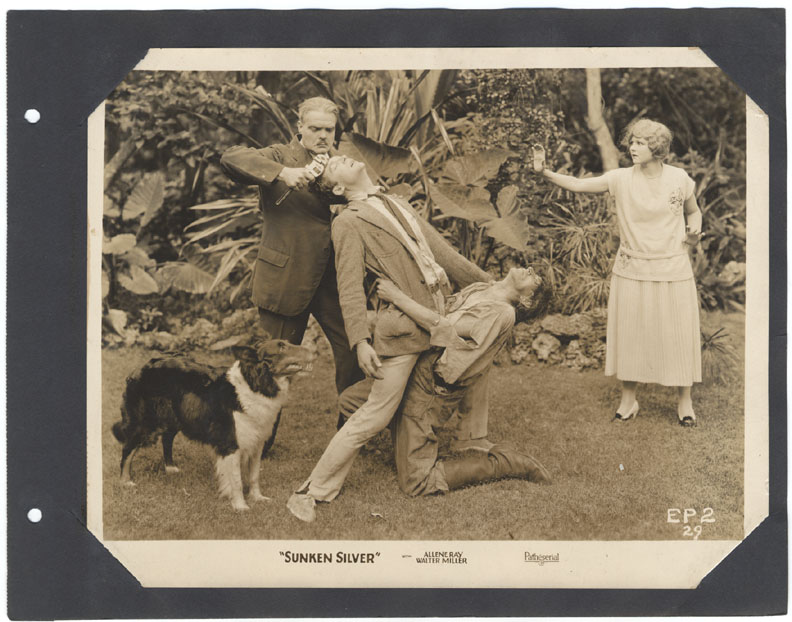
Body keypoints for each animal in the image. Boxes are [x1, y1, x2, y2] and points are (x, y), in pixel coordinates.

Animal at [112, 339, 315, 511]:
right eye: (281, 347)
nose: (313, 350)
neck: (254, 384)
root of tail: (142, 366)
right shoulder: (231, 442)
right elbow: (236, 480)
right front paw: (240, 506)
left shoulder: (257, 441)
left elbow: (254, 475)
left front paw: (258, 498)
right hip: (144, 423)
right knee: (128, 449)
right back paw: (125, 481)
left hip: (174, 417)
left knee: (167, 439)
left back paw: (170, 467)